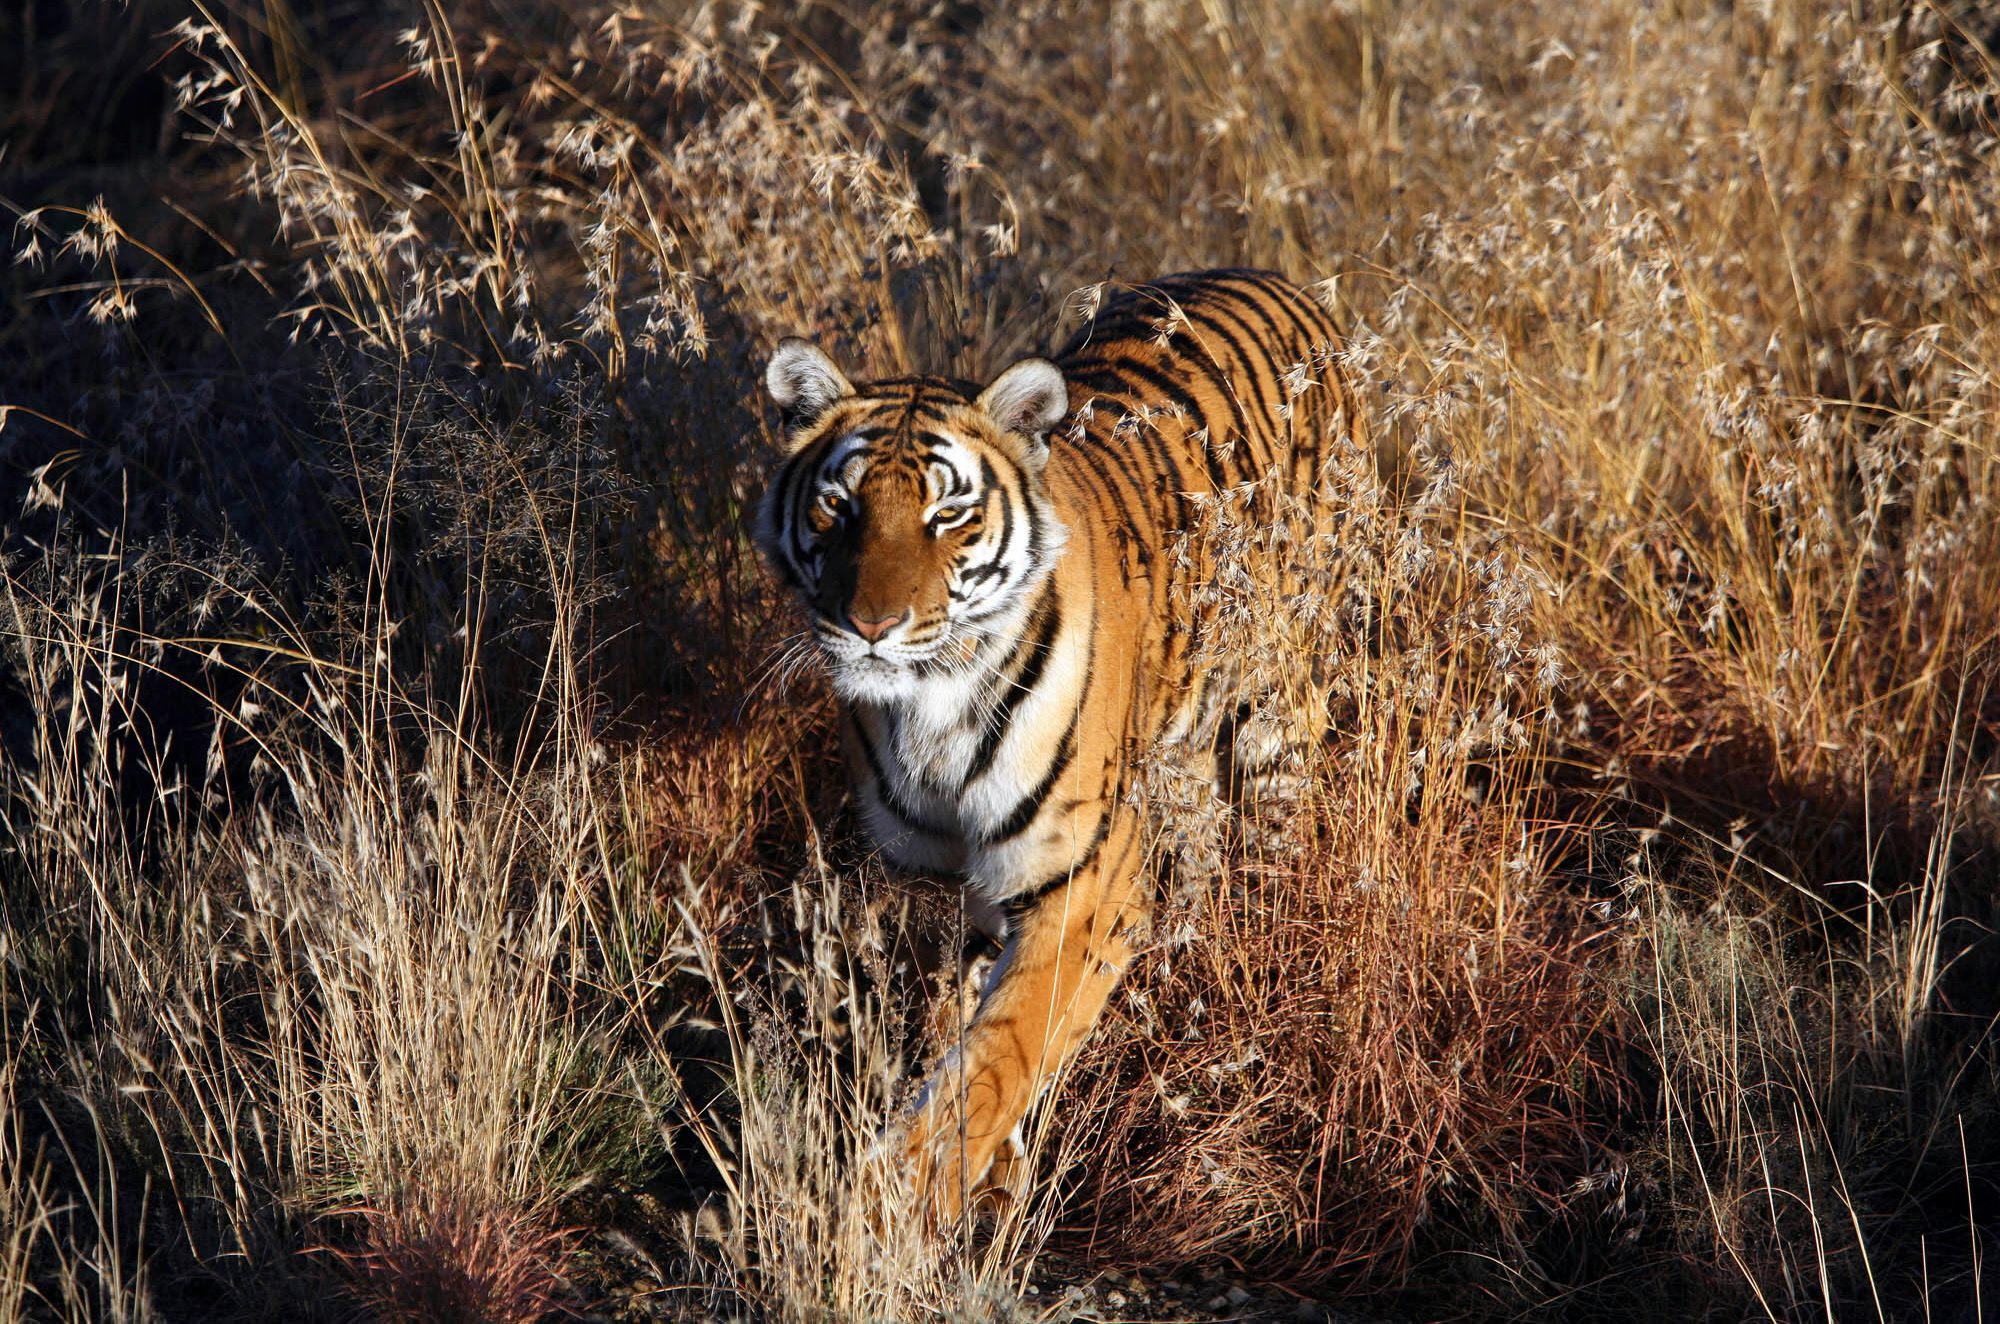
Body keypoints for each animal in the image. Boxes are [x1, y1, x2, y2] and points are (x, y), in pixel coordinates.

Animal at [754, 268, 1364, 1220]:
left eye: (948, 514)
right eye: (839, 506)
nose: (871, 627)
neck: (929, 712)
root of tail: (1280, 281)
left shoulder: (1084, 886)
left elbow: (996, 1058)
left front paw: (898, 1207)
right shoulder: (936, 884)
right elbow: (956, 1026)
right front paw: (981, 1179)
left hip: (1279, 706)